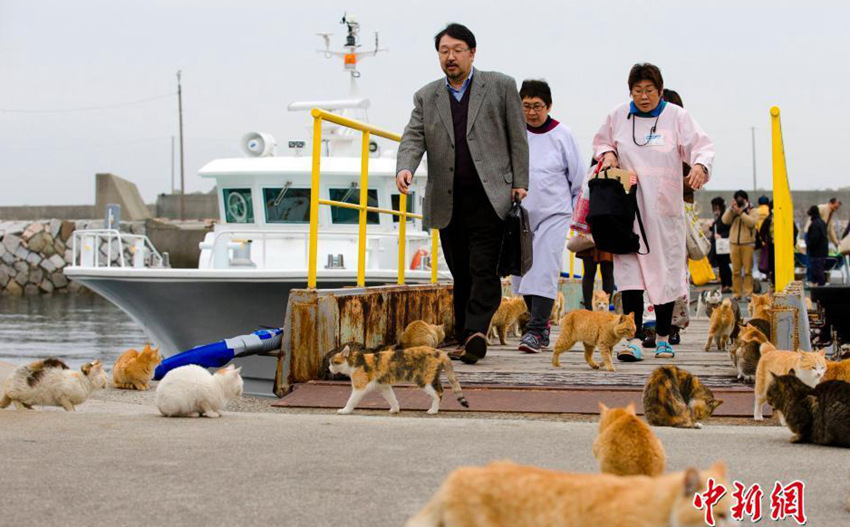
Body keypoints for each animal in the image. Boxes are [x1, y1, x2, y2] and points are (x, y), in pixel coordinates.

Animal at [326, 346, 470, 416]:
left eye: (333, 362)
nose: (328, 368)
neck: (355, 362)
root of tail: (441, 352)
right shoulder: (384, 386)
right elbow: (391, 397)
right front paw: (395, 409)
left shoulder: (359, 387)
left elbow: (351, 400)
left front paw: (345, 410)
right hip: (432, 377)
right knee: (441, 389)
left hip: (424, 379)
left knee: (438, 393)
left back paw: (433, 410)